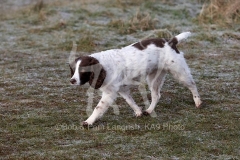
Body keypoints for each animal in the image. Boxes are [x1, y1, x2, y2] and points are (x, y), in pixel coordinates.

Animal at [68, 31, 202, 126]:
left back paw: (198, 102)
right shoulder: (122, 89)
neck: (104, 66)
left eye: (83, 71)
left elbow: (98, 108)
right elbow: (130, 101)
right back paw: (149, 110)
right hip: (154, 78)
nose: (72, 80)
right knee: (156, 95)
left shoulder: (110, 92)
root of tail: (170, 42)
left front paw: (88, 121)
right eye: (74, 70)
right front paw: (139, 112)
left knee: (192, 85)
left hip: (179, 72)